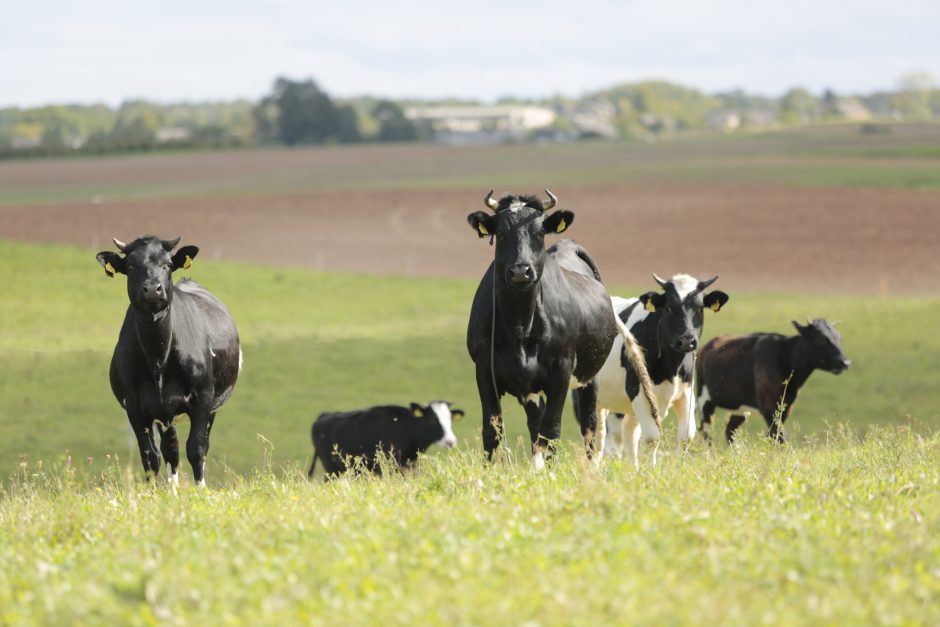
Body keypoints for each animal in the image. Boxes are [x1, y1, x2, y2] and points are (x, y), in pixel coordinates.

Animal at [95, 236, 241, 486]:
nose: (153, 289)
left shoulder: (203, 398)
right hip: (163, 413)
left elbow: (196, 448)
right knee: (170, 450)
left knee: (199, 446)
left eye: (167, 265)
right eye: (131, 267)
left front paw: (200, 490)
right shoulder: (135, 407)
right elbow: (150, 456)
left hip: (212, 405)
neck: (158, 359)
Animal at [308, 400, 462, 478]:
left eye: (450, 420)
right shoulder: (390, 464)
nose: (451, 441)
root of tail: (324, 415)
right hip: (331, 468)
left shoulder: (410, 464)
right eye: (432, 420)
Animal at [464, 189, 656, 468]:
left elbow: (551, 429)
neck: (520, 326)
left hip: (590, 376)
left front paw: (549, 472)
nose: (520, 271)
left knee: (589, 425)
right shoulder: (484, 369)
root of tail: (568, 246)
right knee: (535, 425)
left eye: (539, 232)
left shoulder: (561, 371)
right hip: (532, 387)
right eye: (500, 233)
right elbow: (493, 429)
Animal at [580, 272, 736, 468]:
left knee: (628, 431)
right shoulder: (639, 391)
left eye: (700, 308)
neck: (671, 367)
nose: (686, 341)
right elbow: (652, 438)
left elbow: (686, 435)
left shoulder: (685, 391)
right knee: (596, 435)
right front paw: (651, 471)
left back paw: (633, 469)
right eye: (669, 307)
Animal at [692, 318, 848, 446]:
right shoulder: (768, 406)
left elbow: (773, 436)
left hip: (741, 406)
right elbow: (780, 436)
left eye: (839, 338)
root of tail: (706, 347)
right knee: (706, 433)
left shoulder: (785, 407)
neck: (786, 357)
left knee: (730, 429)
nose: (845, 362)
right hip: (704, 399)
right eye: (821, 339)